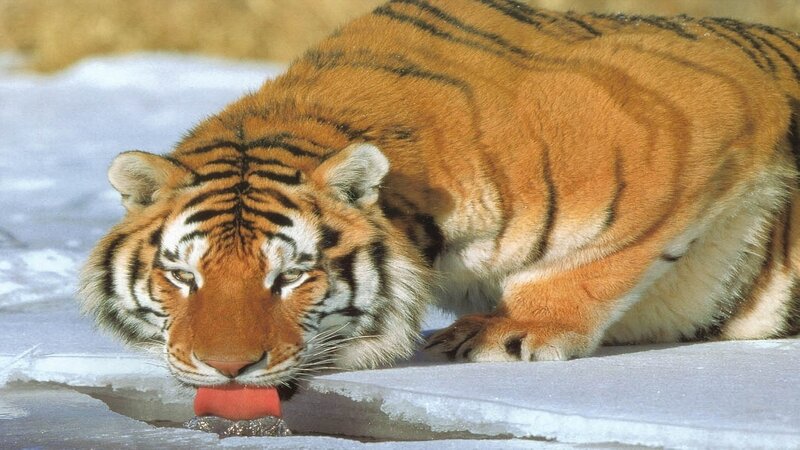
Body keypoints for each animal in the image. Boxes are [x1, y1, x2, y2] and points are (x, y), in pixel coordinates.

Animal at [80, 0, 800, 395]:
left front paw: (511, 331)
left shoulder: (703, 108)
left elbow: (591, 259)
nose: (225, 368)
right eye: (183, 277)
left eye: (290, 277)